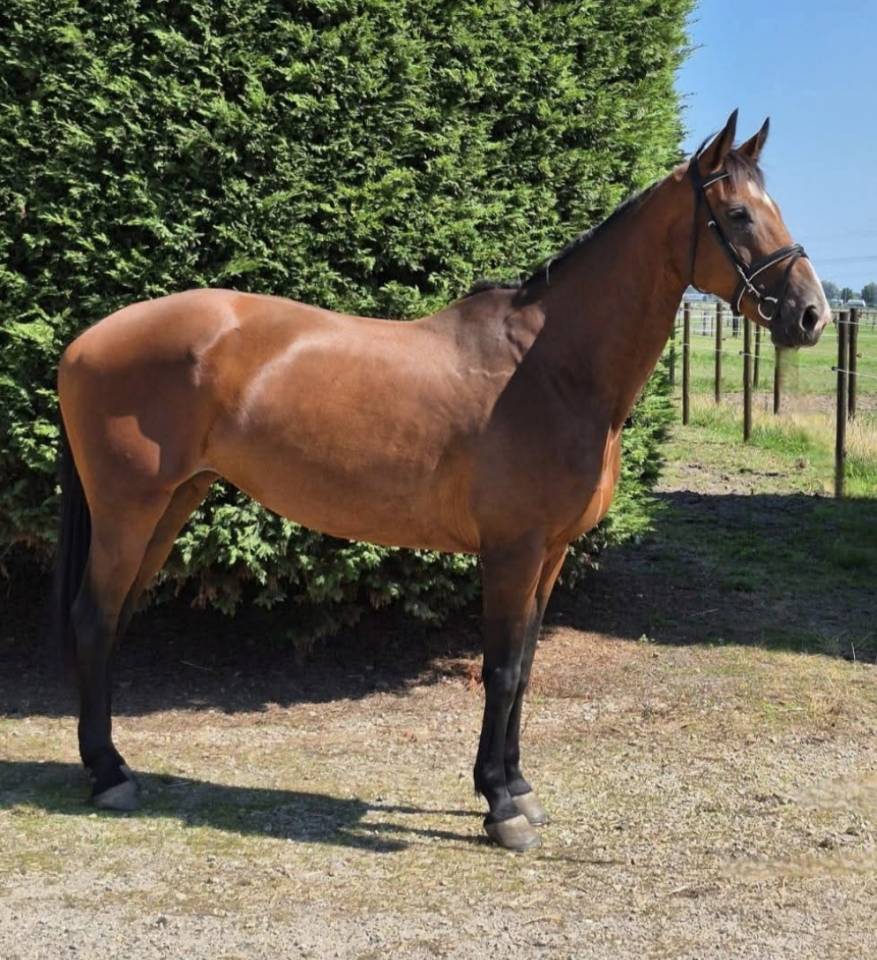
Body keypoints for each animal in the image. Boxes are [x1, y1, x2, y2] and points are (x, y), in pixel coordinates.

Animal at [51, 111, 830, 851]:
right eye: (737, 215)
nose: (811, 314)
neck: (550, 369)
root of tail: (85, 340)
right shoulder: (512, 551)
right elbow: (501, 670)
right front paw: (499, 808)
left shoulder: (549, 554)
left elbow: (524, 669)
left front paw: (518, 789)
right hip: (129, 510)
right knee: (91, 617)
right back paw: (108, 775)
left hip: (171, 504)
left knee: (114, 618)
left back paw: (111, 763)